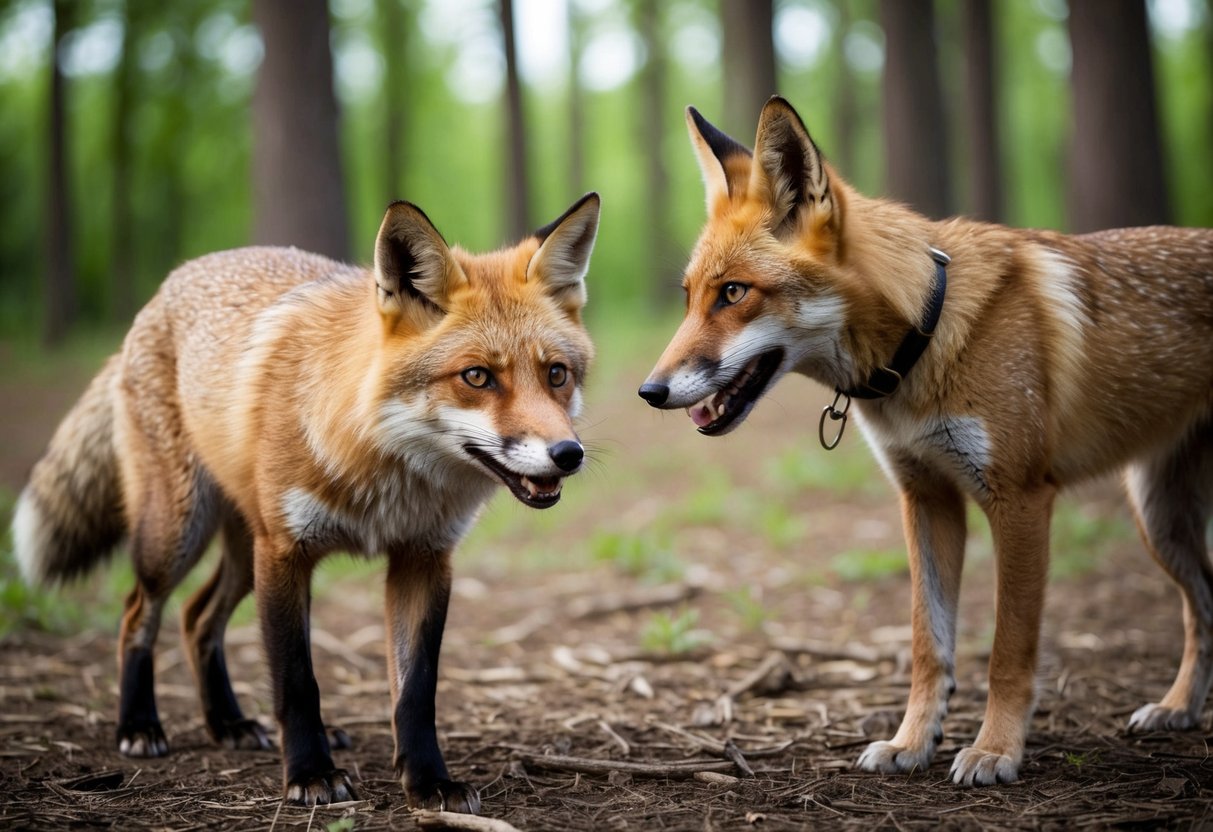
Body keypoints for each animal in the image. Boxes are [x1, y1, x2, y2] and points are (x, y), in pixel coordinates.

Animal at [12, 193, 601, 810]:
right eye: (478, 377)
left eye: (556, 374)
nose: (568, 454)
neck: (384, 468)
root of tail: (165, 288)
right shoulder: (285, 552)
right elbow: (297, 680)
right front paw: (311, 775)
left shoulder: (423, 558)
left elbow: (416, 693)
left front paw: (428, 781)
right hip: (176, 535)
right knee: (136, 614)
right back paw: (140, 726)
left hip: (242, 553)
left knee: (197, 618)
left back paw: (230, 724)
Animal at [639, 96, 1213, 786]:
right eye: (689, 297)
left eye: (733, 293)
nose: (649, 390)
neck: (925, 336)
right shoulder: (927, 499)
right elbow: (927, 646)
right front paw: (912, 743)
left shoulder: (1021, 500)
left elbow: (1008, 651)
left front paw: (995, 750)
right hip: (1160, 520)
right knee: (1206, 608)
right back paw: (1179, 707)